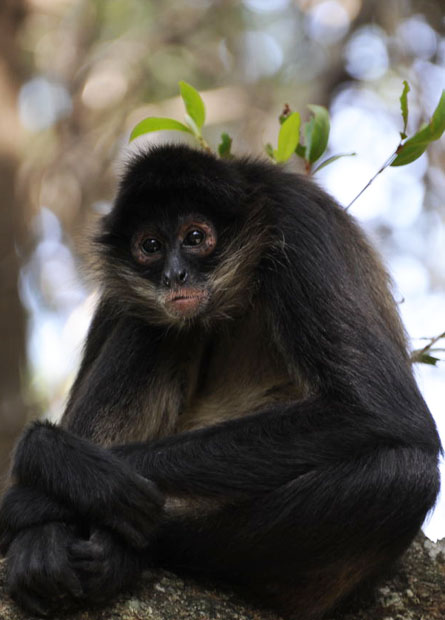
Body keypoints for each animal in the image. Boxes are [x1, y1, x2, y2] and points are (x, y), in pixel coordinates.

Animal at [0, 143, 438, 616]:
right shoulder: (125, 286)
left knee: (406, 474)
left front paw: (65, 470)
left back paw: (126, 549)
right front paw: (66, 480)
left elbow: (379, 410)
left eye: (195, 238)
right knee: (153, 325)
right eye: (150, 246)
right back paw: (47, 545)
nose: (174, 275)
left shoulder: (298, 222)